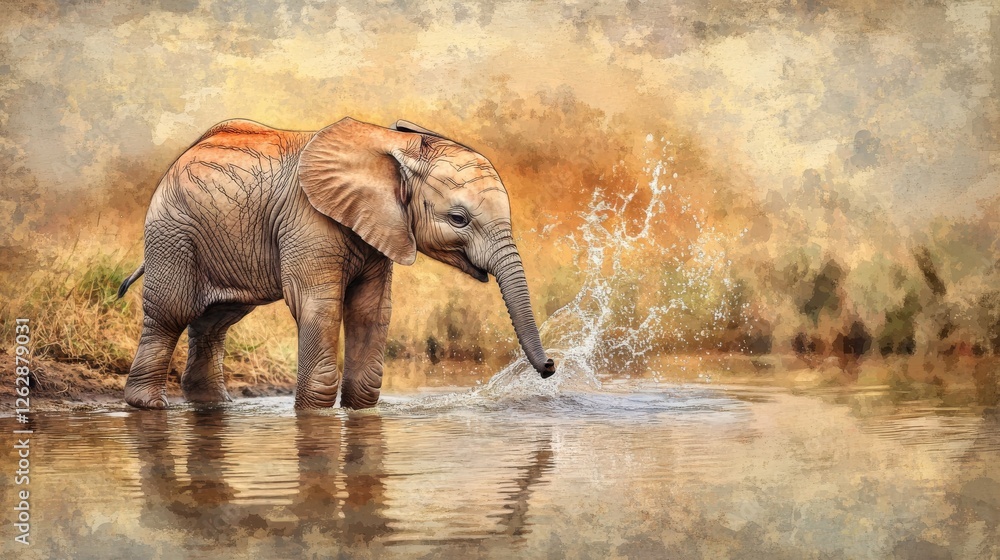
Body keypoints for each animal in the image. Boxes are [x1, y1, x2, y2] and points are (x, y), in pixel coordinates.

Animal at [117, 117, 555, 410]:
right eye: (459, 219)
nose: (550, 366)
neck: (393, 144)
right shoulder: (308, 219)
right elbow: (319, 306)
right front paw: (315, 414)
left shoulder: (381, 229)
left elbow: (371, 310)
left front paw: (357, 412)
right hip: (172, 232)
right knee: (171, 313)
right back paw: (149, 407)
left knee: (216, 320)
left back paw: (215, 406)